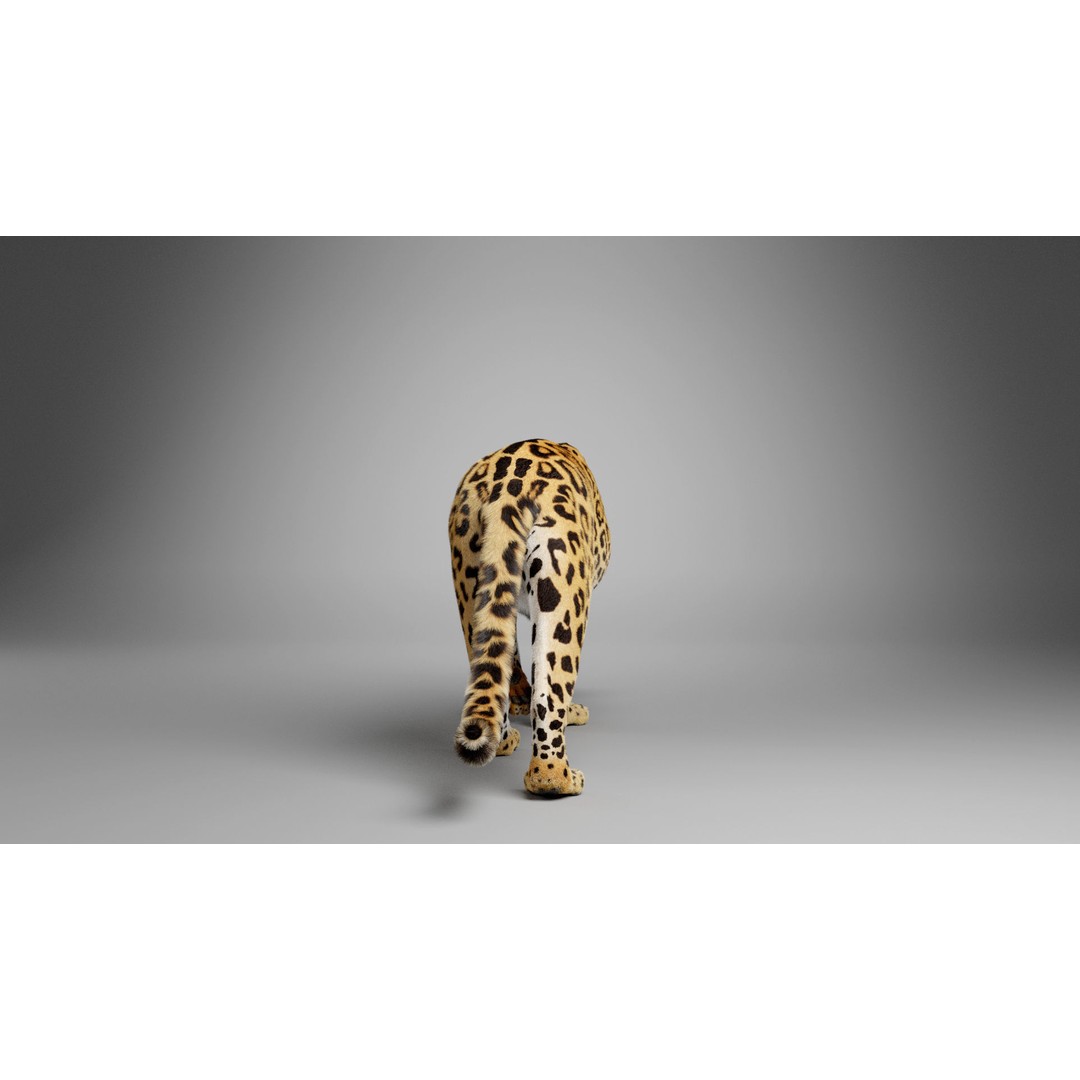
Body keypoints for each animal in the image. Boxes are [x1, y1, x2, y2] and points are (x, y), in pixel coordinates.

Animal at [449, 439, 611, 796]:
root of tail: (506, 489)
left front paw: (520, 698)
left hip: (471, 585)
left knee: (490, 664)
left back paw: (503, 740)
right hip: (564, 599)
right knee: (550, 693)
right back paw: (557, 777)